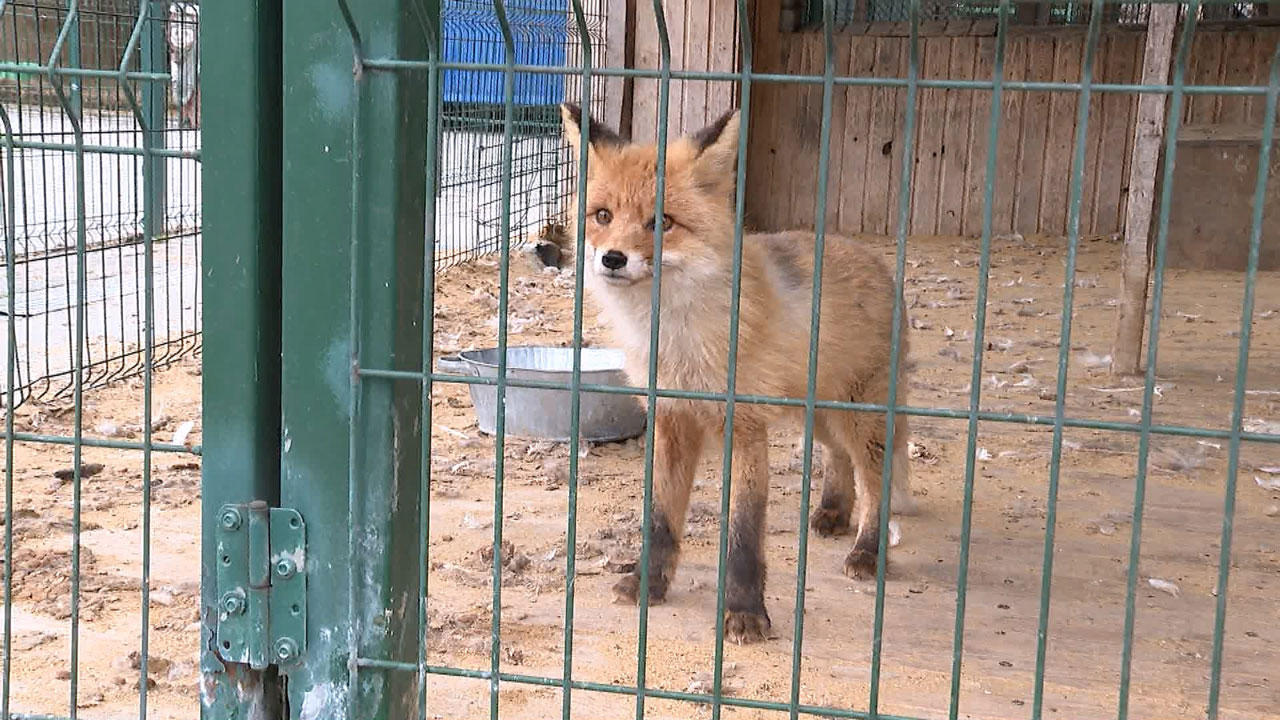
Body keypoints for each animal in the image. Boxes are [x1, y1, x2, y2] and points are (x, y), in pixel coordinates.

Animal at [565, 102, 916, 645]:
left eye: (662, 222)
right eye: (602, 216)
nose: (613, 258)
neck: (678, 341)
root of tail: (874, 260)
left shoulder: (744, 424)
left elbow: (744, 532)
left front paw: (746, 612)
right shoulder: (671, 421)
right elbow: (659, 519)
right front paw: (647, 583)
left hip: (861, 417)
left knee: (874, 481)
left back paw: (867, 550)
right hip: (815, 414)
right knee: (837, 458)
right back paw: (833, 512)